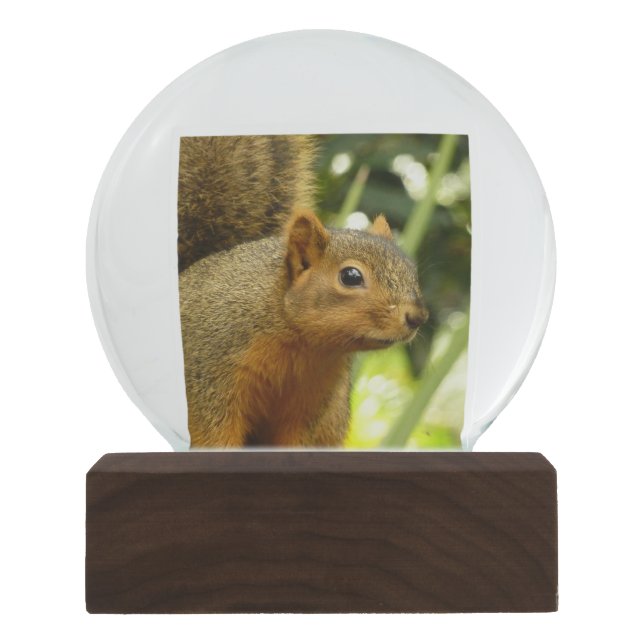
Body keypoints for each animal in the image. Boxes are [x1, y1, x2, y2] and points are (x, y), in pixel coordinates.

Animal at [178, 135, 428, 448]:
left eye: (411, 270)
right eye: (350, 276)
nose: (417, 317)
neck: (302, 345)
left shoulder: (311, 401)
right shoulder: (209, 378)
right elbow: (213, 435)